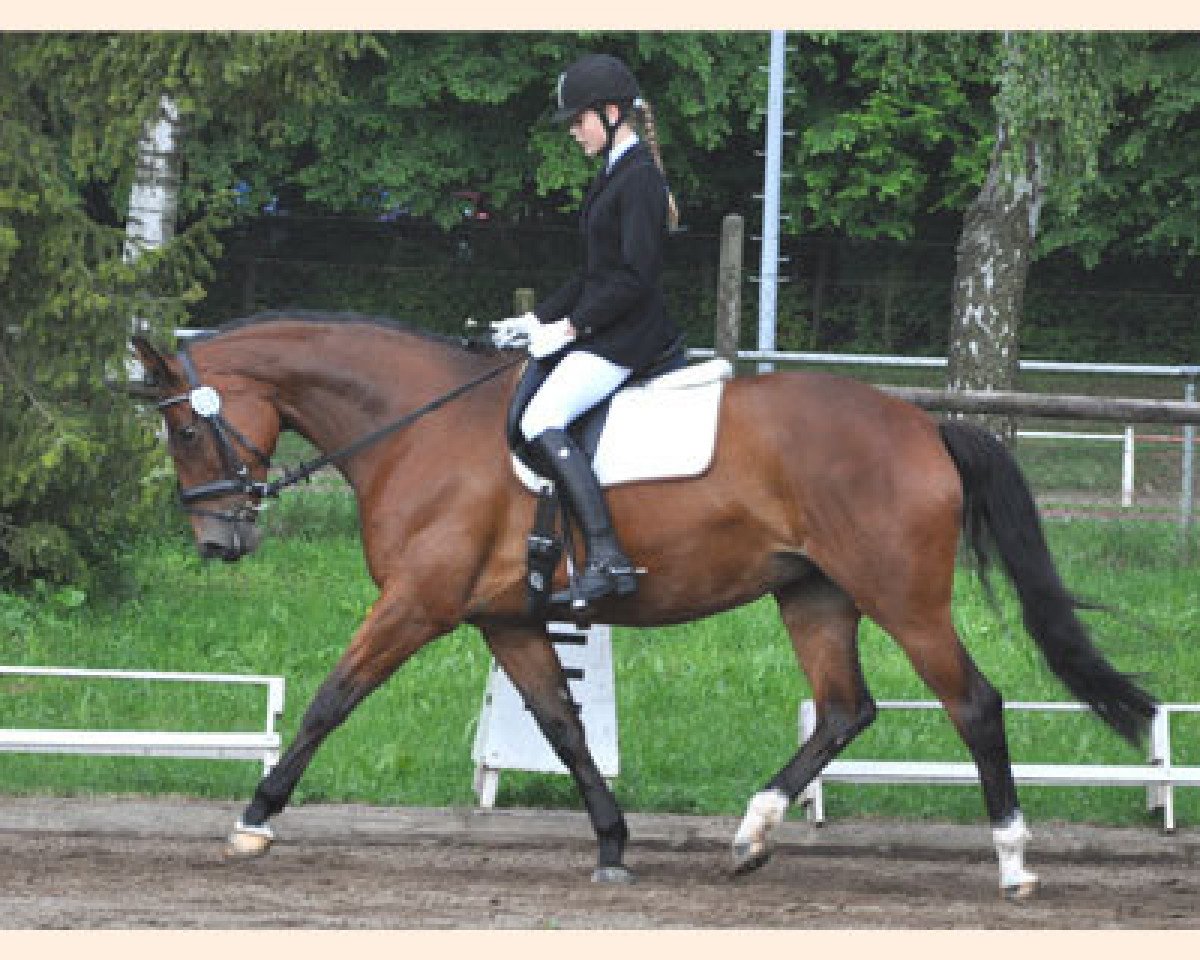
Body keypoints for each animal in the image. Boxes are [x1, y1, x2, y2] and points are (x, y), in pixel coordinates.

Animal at [127, 311, 1156, 898]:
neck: (418, 427)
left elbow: (329, 699)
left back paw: (1014, 861)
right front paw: (615, 843)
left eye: (184, 431)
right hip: (814, 594)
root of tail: (922, 423)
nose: (219, 543)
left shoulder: (419, 604)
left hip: (901, 595)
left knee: (973, 703)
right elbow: (561, 725)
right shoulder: (507, 618)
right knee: (844, 708)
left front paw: (255, 819)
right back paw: (749, 837)